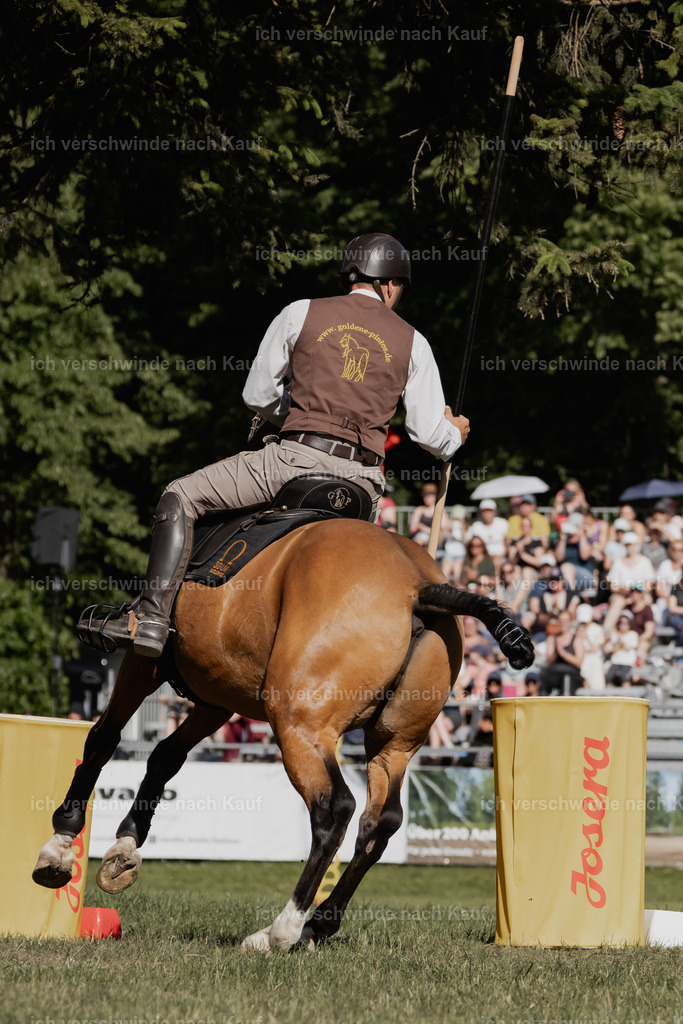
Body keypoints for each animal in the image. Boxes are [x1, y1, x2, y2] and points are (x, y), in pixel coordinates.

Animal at [32, 517, 533, 952]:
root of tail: (419, 587)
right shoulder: (218, 694)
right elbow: (164, 757)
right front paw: (125, 846)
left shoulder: (146, 661)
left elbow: (104, 739)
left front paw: (61, 845)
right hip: (392, 746)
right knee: (381, 821)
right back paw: (319, 923)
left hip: (298, 726)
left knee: (335, 809)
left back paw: (281, 930)